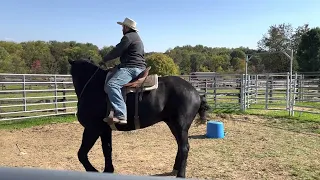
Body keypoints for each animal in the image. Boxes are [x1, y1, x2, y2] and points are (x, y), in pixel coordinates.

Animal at [68, 58, 210, 178]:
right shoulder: (104, 129)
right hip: (173, 125)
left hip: (180, 126)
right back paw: (175, 168)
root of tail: (196, 92)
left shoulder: (93, 129)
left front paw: (93, 170)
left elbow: (81, 154)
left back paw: (180, 174)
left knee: (184, 147)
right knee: (180, 146)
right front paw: (108, 170)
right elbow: (107, 149)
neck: (93, 86)